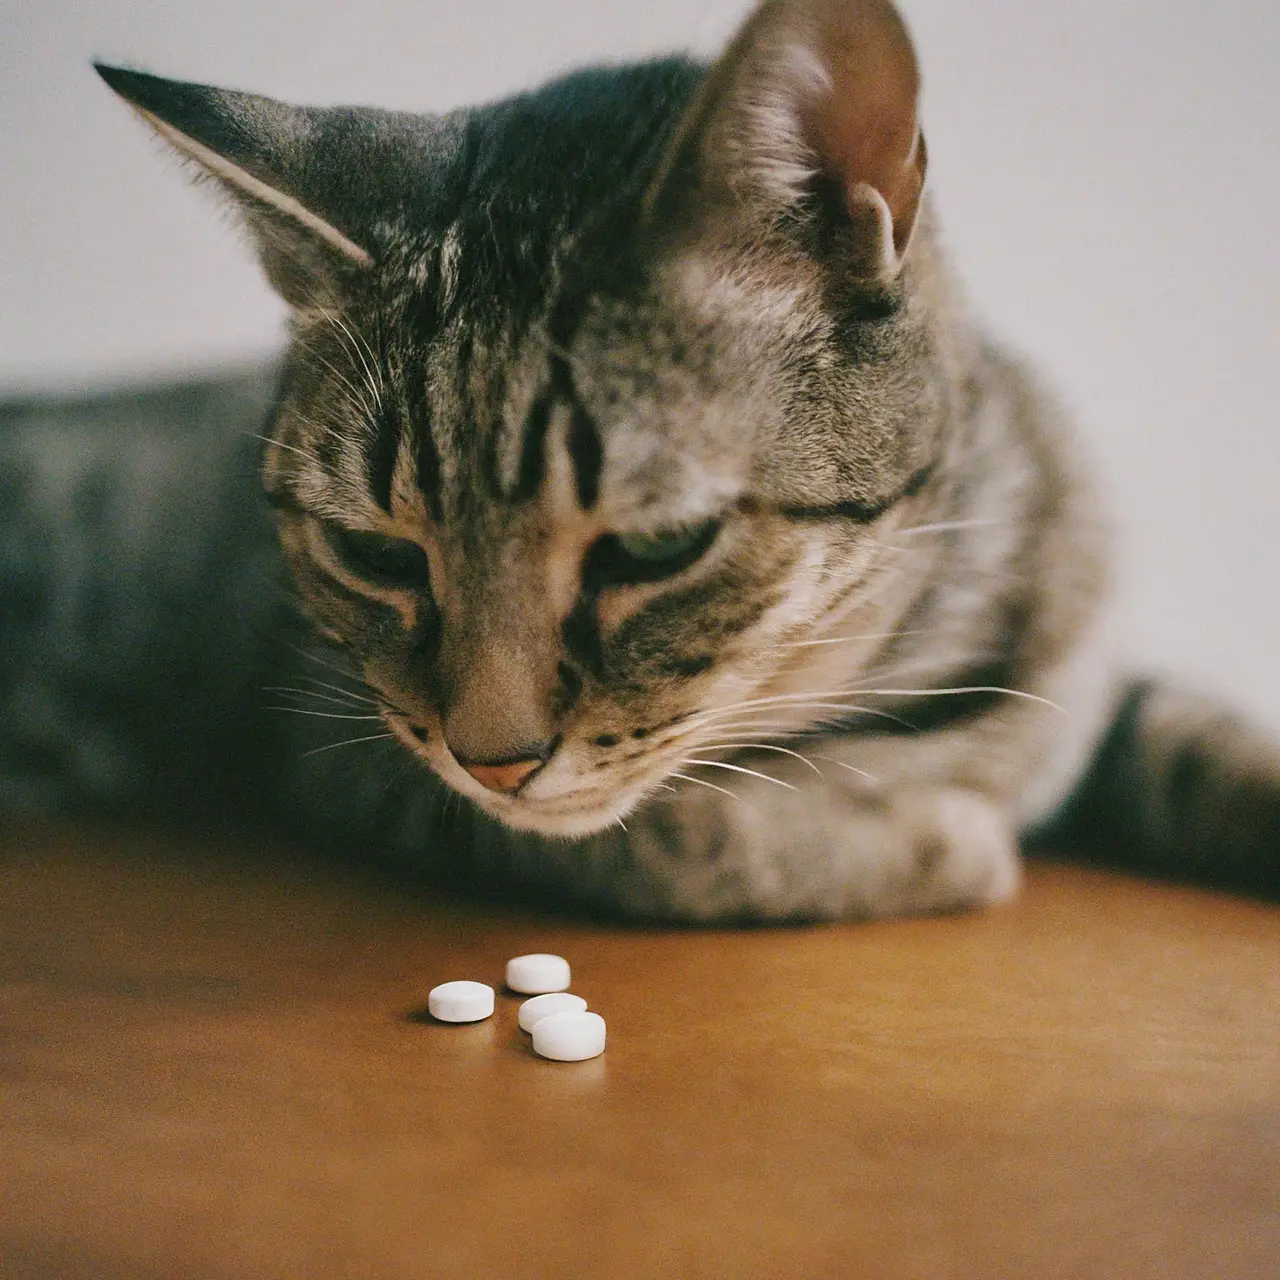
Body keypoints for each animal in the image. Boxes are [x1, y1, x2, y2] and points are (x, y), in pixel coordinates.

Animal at [2, 0, 1280, 921]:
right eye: (376, 552)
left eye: (655, 546)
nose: (490, 760)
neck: (917, 667)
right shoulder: (350, 755)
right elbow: (683, 832)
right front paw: (934, 841)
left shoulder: (1094, 676)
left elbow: (1201, 738)